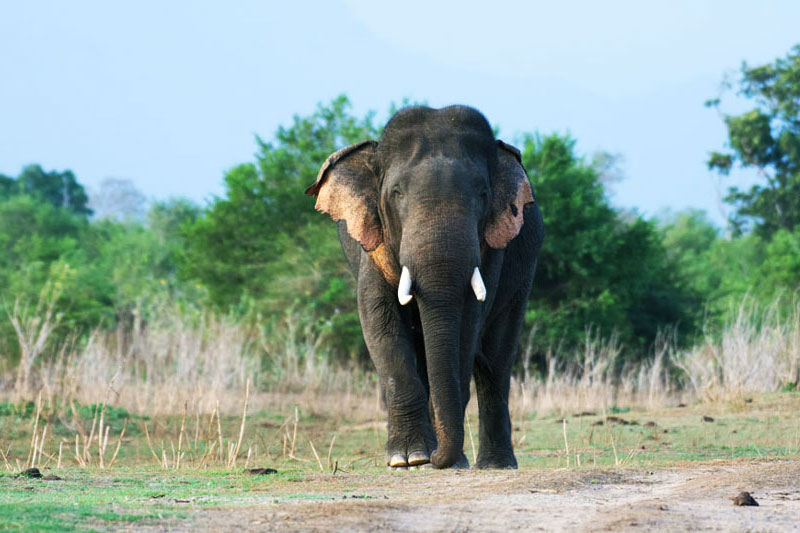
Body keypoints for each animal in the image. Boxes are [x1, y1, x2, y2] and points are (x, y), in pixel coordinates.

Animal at [306, 105, 544, 470]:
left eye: (483, 195)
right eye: (396, 194)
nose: (435, 458)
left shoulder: (492, 249)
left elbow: (467, 325)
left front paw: (440, 459)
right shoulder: (372, 243)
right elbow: (378, 317)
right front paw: (408, 459)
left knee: (496, 362)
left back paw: (495, 465)